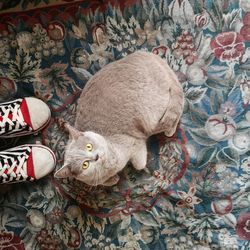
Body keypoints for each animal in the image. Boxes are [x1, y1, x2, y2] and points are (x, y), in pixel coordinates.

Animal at [54, 50, 184, 186]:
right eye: (85, 165)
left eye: (89, 146)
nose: (96, 157)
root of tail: (147, 55)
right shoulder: (94, 181)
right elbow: (104, 182)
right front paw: (113, 179)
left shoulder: (134, 141)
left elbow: (139, 163)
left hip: (151, 114)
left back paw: (170, 130)